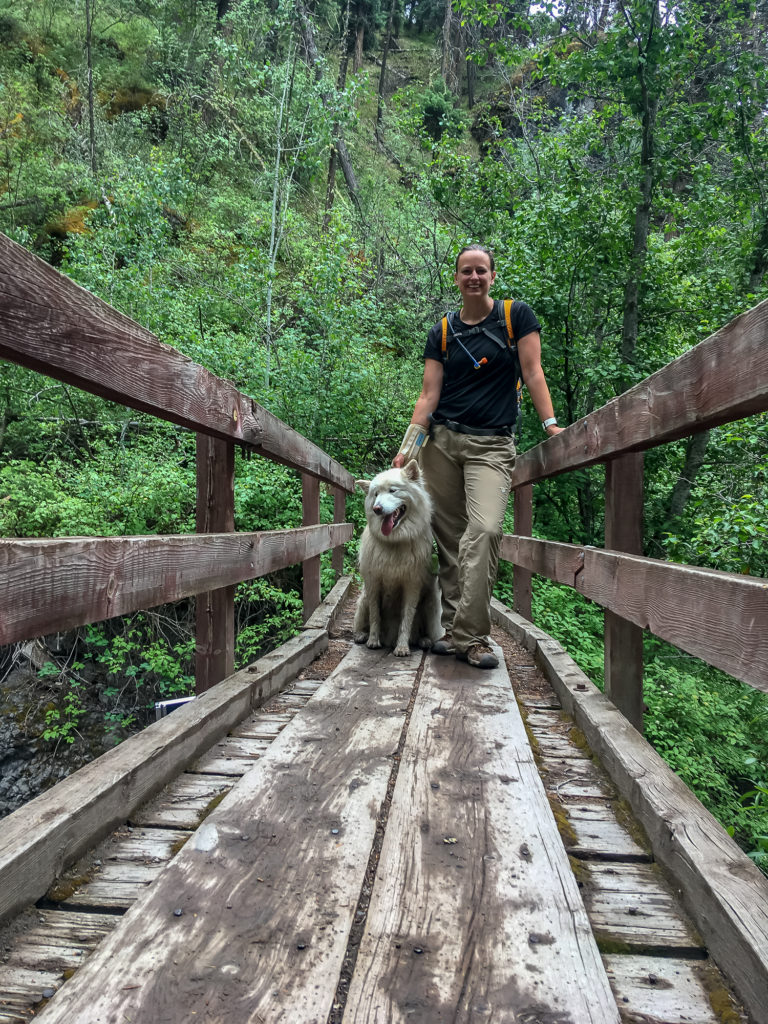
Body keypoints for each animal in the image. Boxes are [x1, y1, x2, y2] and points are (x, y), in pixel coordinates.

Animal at [354, 458, 442, 655]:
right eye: (375, 494)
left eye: (392, 490)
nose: (377, 508)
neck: (395, 541)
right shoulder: (373, 583)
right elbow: (375, 616)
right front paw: (373, 640)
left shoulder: (412, 585)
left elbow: (407, 618)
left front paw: (402, 647)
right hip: (363, 600)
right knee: (362, 623)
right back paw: (362, 635)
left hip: (431, 602)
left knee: (423, 631)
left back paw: (423, 640)